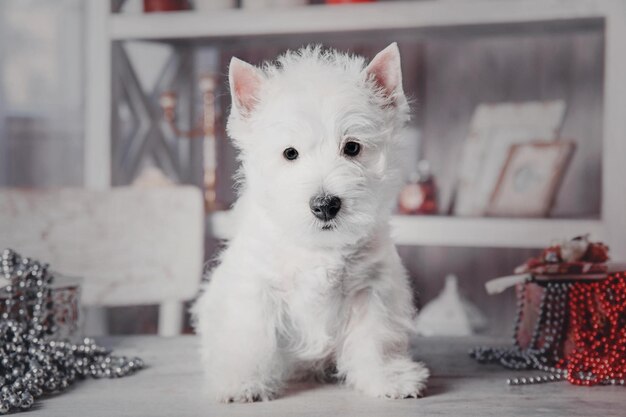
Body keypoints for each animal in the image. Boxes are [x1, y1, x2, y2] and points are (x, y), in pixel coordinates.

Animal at [194, 43, 428, 404]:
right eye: (290, 153)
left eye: (352, 147)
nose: (325, 205)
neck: (318, 247)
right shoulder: (256, 289)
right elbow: (248, 337)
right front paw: (241, 382)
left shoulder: (371, 290)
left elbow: (376, 338)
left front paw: (388, 378)